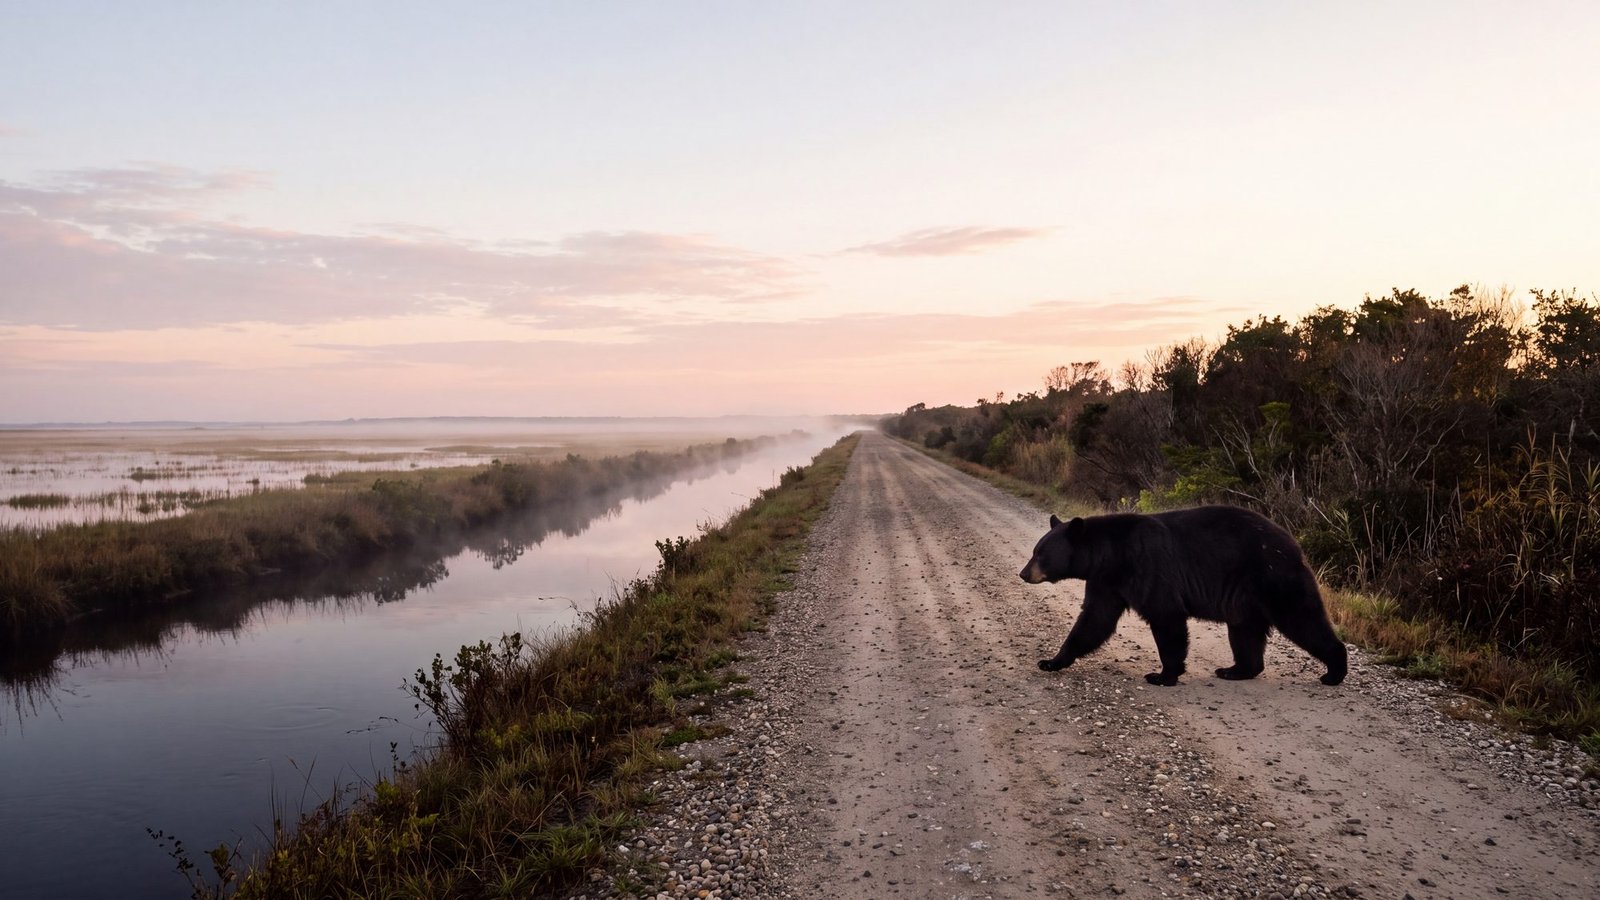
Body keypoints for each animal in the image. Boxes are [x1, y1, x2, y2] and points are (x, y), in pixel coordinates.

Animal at [1019, 506, 1347, 686]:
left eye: (1041, 554)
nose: (1023, 573)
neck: (1111, 554)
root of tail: (1295, 543)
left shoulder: (1148, 568)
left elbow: (1166, 617)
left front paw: (1163, 675)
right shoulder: (1107, 582)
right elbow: (1093, 621)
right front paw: (1052, 661)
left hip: (1275, 578)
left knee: (1303, 618)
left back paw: (1334, 672)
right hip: (1245, 598)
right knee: (1245, 633)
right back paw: (1235, 670)